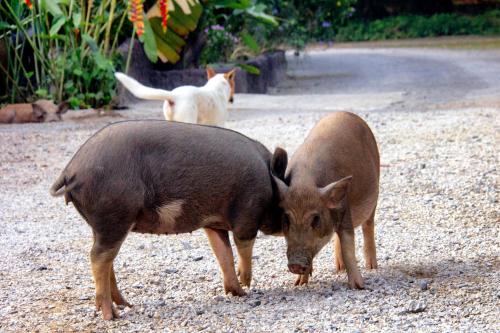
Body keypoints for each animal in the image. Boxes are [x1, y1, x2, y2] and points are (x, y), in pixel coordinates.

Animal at [51, 120, 288, 320]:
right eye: (284, 207)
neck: (267, 180)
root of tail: (70, 170)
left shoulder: (213, 223)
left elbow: (224, 255)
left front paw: (238, 293)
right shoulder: (247, 213)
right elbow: (244, 246)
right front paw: (247, 284)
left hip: (100, 223)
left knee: (106, 259)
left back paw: (126, 305)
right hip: (114, 215)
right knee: (98, 257)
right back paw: (112, 316)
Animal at [272, 111, 380, 288]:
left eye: (316, 219)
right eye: (286, 219)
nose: (295, 264)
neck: (305, 183)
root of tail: (345, 112)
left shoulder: (344, 207)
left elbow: (348, 246)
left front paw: (358, 287)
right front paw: (299, 284)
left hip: (375, 193)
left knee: (368, 225)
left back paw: (372, 267)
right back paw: (339, 268)